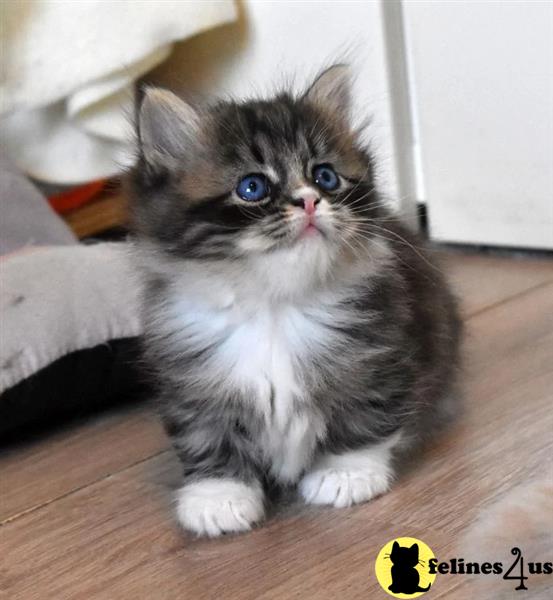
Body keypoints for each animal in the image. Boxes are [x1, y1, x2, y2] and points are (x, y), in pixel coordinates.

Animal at [129, 67, 462, 540]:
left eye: (325, 177)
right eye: (252, 187)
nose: (308, 200)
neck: (275, 305)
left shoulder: (377, 358)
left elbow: (365, 418)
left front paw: (346, 473)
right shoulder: (191, 380)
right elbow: (205, 436)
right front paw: (217, 496)